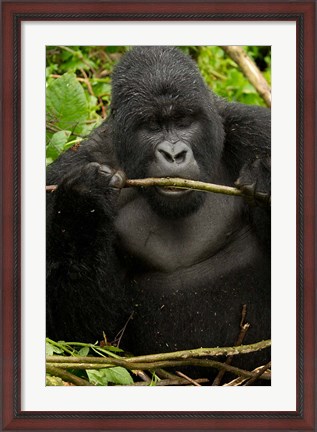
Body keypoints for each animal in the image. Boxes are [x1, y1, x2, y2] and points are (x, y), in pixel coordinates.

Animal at [47, 45, 270, 380]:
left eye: (184, 121)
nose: (173, 154)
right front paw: (82, 206)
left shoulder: (257, 129)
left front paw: (267, 178)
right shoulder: (61, 176)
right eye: (151, 126)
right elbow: (80, 336)